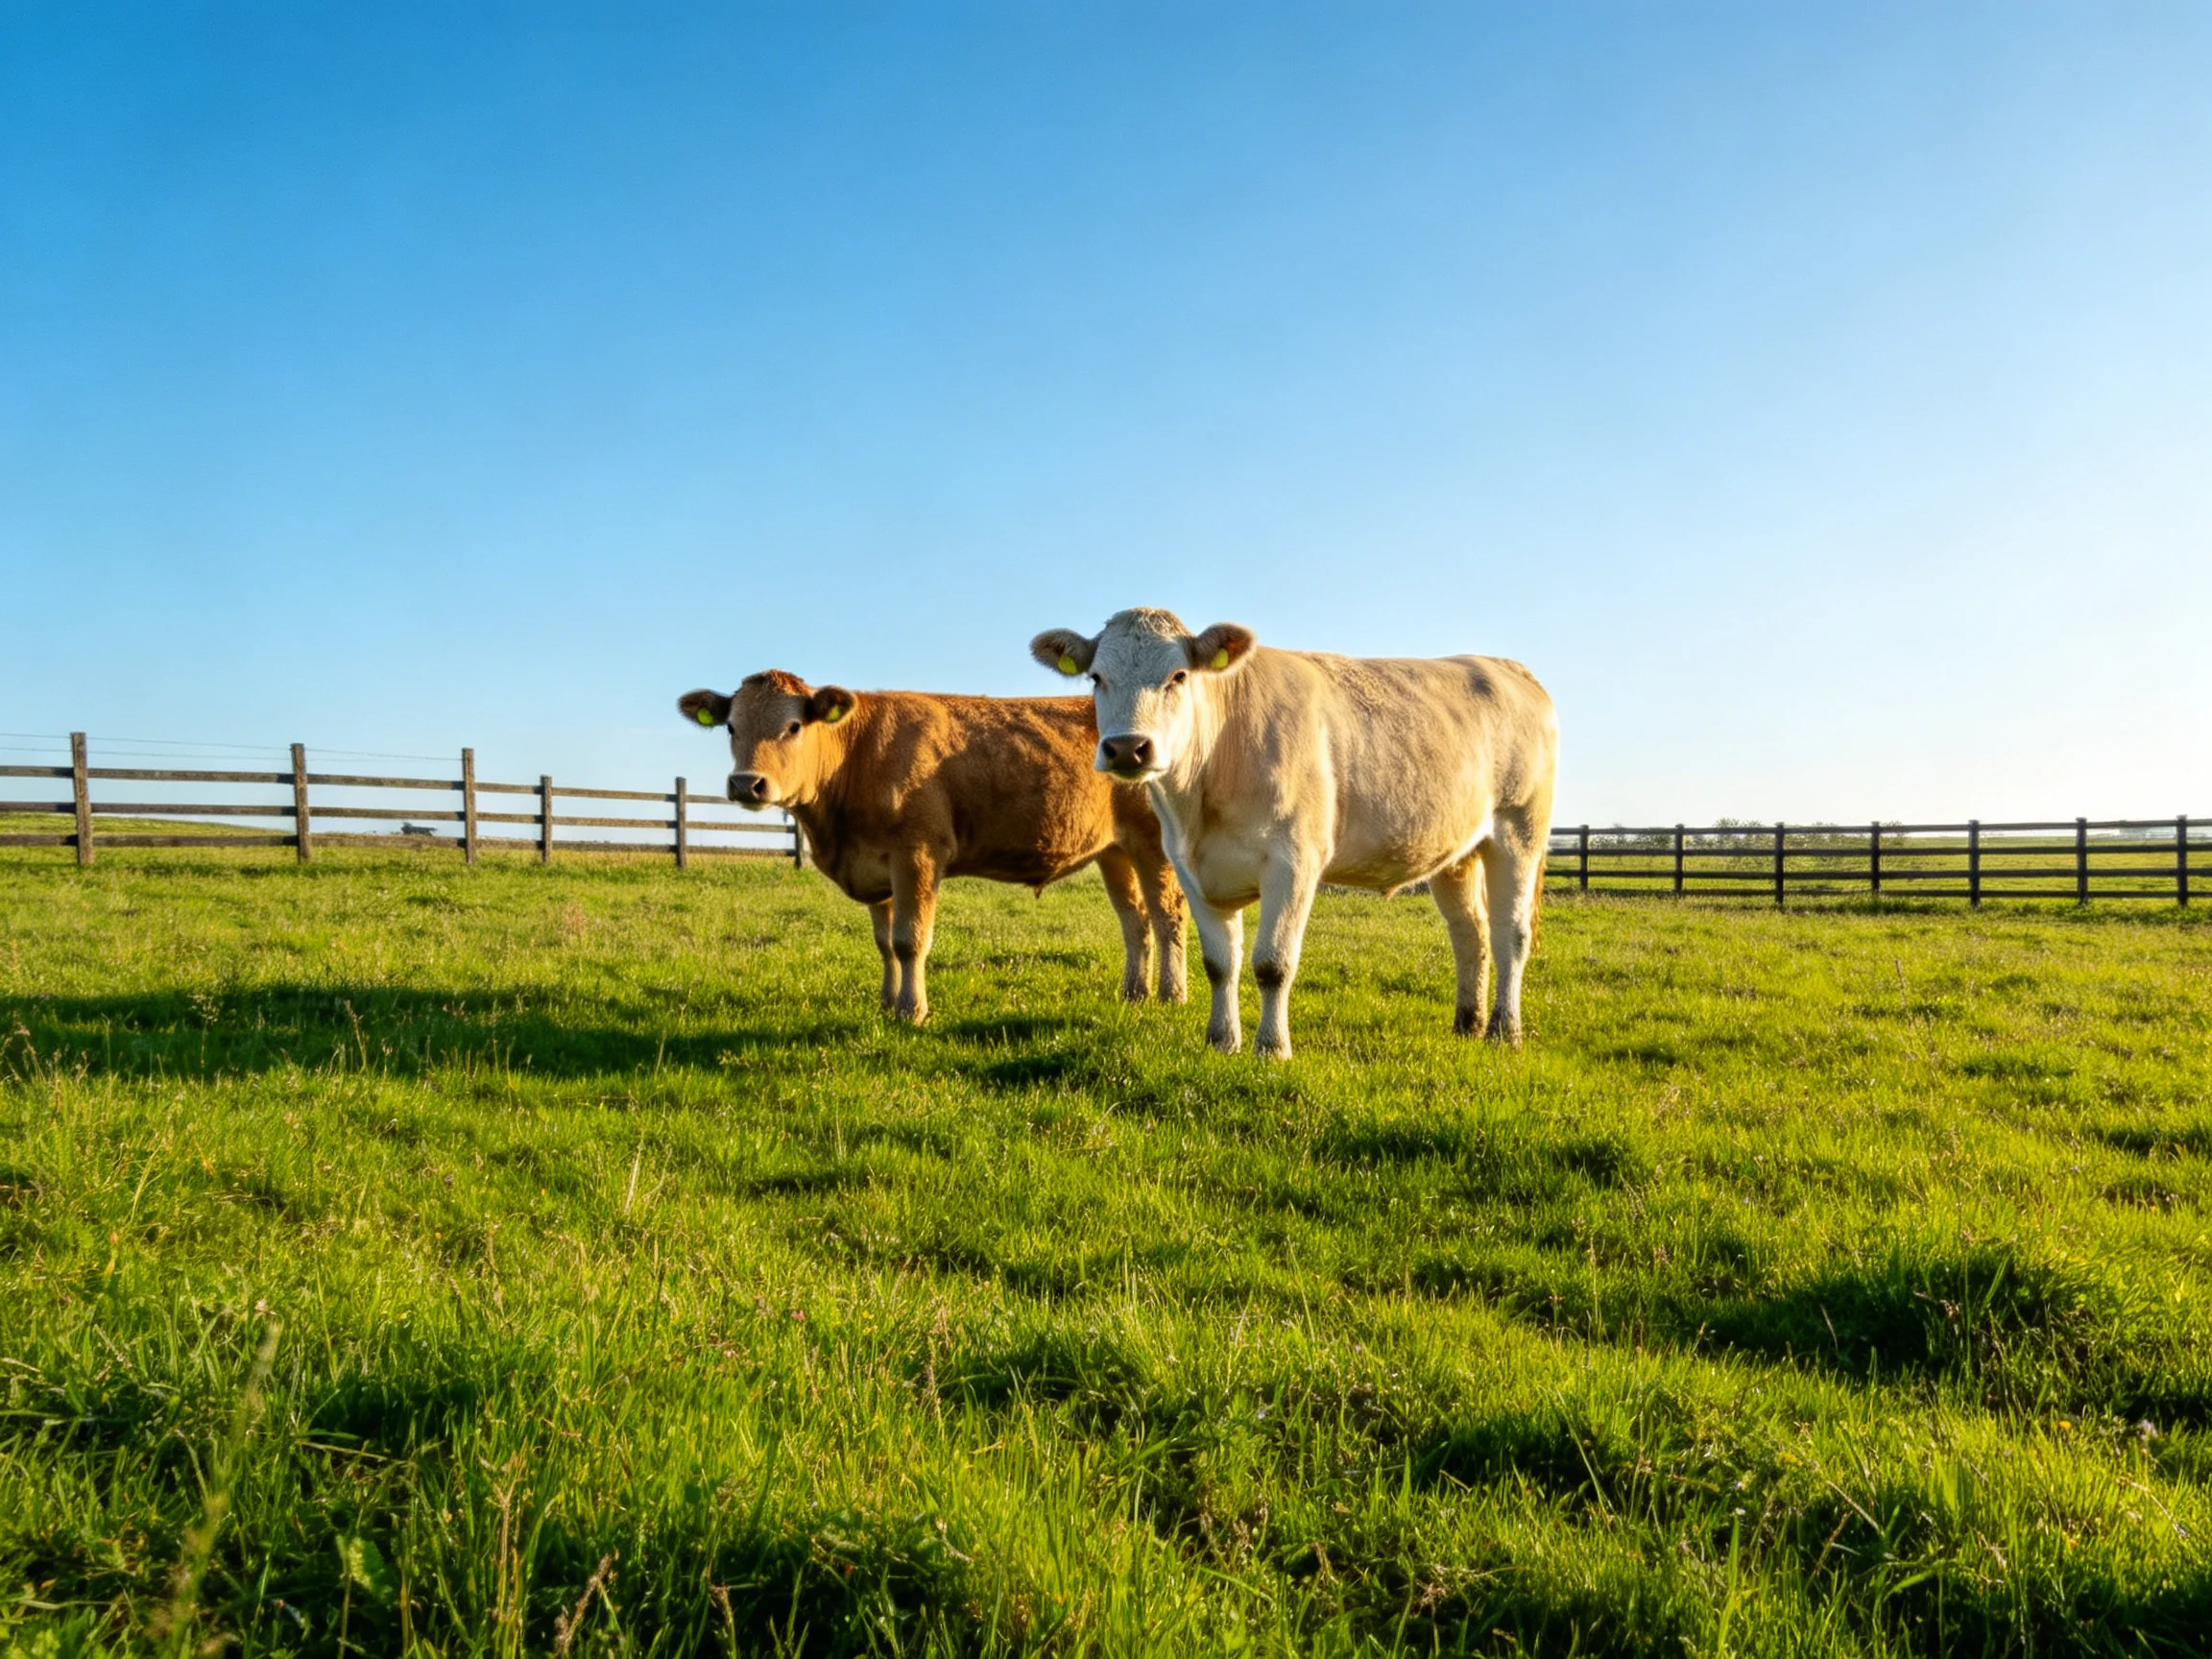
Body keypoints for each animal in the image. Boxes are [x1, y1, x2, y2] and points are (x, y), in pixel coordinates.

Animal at [678, 671, 1185, 1024]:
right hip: (1114, 851)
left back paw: (1171, 996)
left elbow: (909, 940)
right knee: (1135, 921)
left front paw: (911, 1011)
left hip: (1153, 844)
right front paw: (886, 1004)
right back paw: (1134, 994)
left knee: (1167, 919)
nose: (746, 783)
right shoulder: (875, 865)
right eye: (730, 727)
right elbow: (884, 943)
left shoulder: (917, 854)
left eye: (794, 725)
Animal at [1028, 610, 1557, 1058]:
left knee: (1510, 933)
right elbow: (1220, 963)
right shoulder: (1191, 867)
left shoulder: (1294, 861)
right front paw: (1222, 1042)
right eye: (1096, 678)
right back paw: (1467, 1024)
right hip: (1456, 852)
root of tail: (1504, 666)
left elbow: (1272, 963)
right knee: (1470, 934)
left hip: (1519, 833)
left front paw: (1271, 1048)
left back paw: (1504, 1030)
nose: (1127, 748)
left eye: (1178, 676)